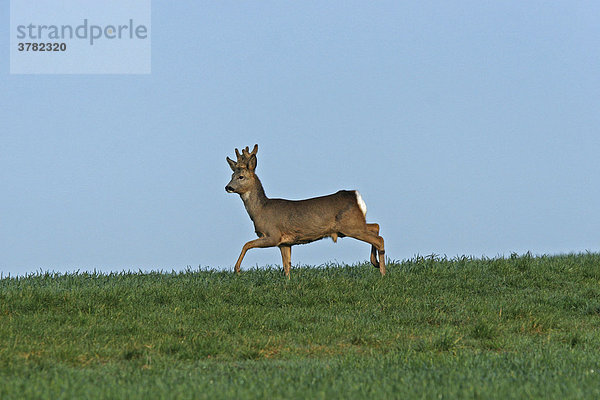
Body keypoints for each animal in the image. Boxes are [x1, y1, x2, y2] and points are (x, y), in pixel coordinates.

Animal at [224, 145, 384, 278]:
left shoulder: (273, 235)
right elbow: (286, 266)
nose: (228, 187)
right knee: (375, 226)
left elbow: (247, 244)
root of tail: (356, 197)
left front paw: (237, 270)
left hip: (350, 226)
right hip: (353, 224)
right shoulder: (285, 243)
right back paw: (375, 263)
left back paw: (382, 272)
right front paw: (288, 282)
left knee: (379, 239)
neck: (260, 210)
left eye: (241, 176)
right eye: (231, 176)